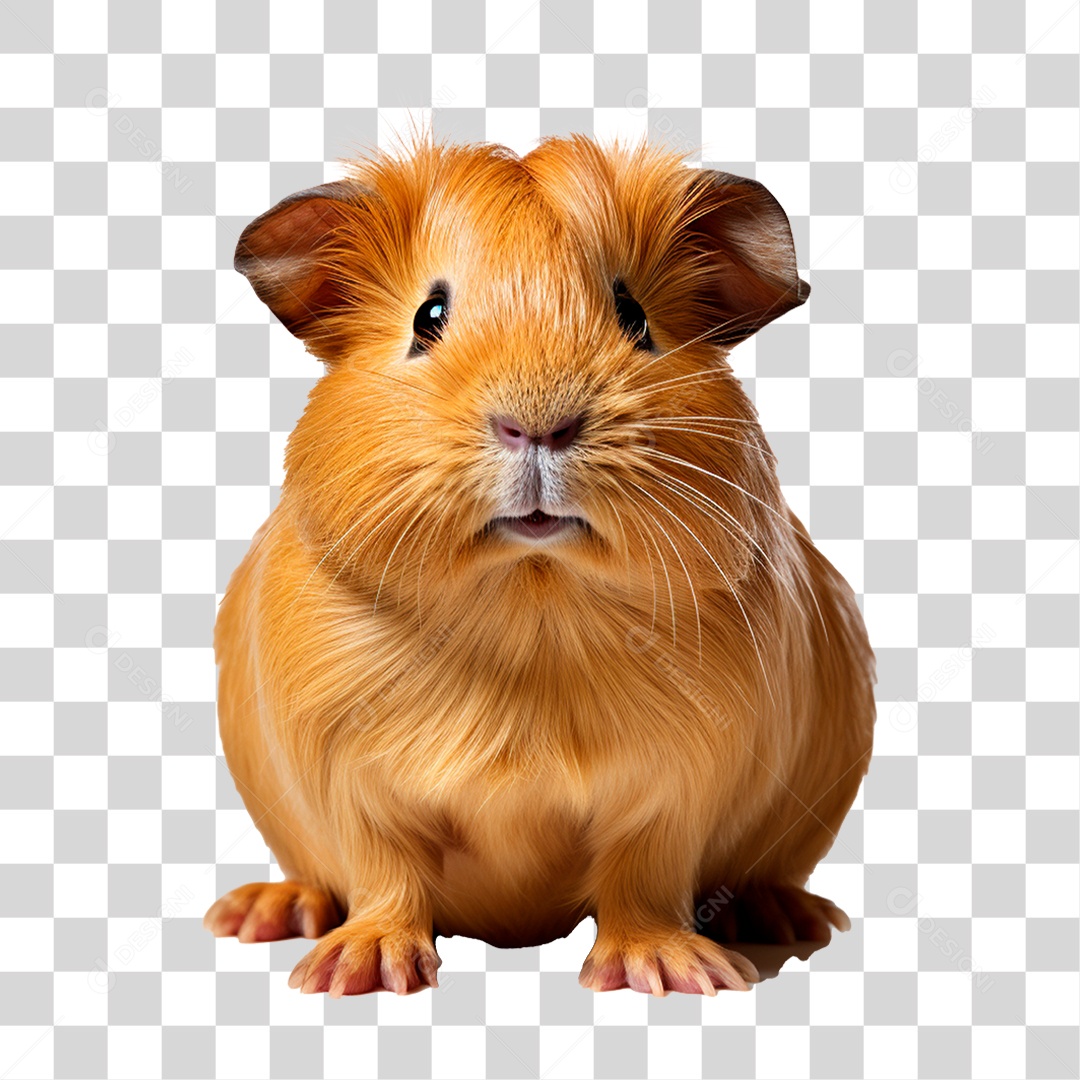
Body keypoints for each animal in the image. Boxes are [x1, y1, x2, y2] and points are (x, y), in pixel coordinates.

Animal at [205, 134, 876, 998]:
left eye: (635, 315)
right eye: (428, 317)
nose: (538, 423)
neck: (532, 602)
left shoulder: (680, 783)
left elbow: (644, 875)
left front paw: (673, 974)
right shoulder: (346, 777)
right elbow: (384, 872)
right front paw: (357, 972)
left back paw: (785, 921)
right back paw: (262, 913)